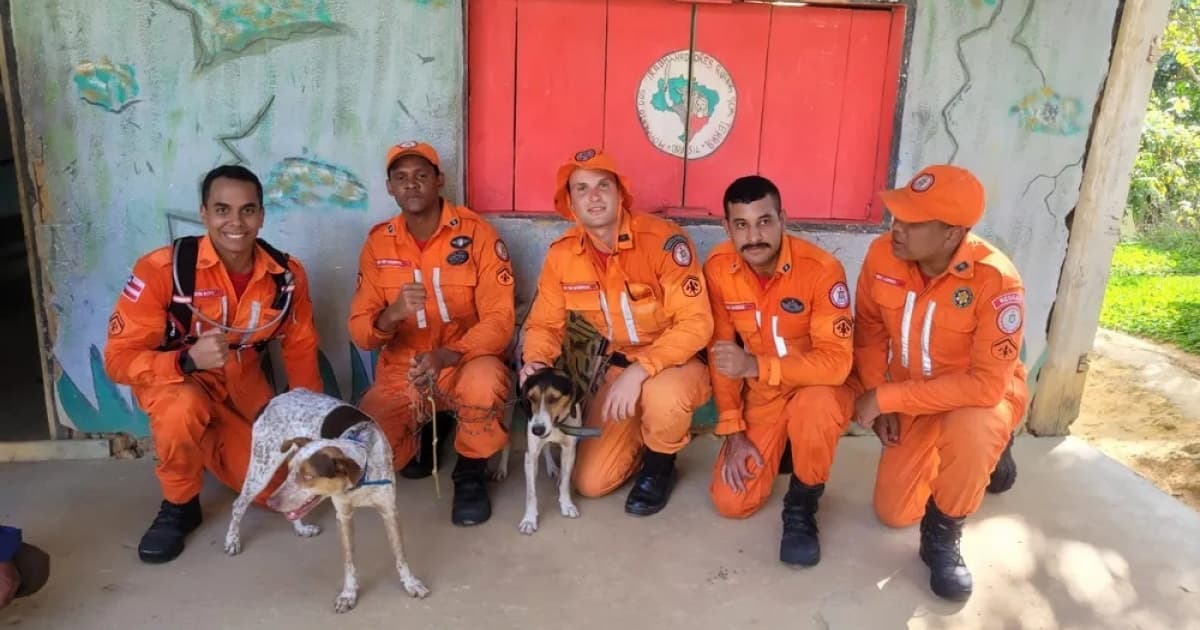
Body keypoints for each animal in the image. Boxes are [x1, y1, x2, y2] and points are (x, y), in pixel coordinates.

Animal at [225, 391, 432, 612]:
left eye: (308, 476)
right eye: (292, 470)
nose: (271, 503)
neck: (361, 479)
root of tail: (273, 399)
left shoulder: (389, 511)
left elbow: (400, 554)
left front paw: (410, 583)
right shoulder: (343, 516)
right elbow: (349, 562)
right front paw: (348, 594)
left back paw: (301, 528)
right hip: (262, 467)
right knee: (239, 504)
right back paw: (232, 541)